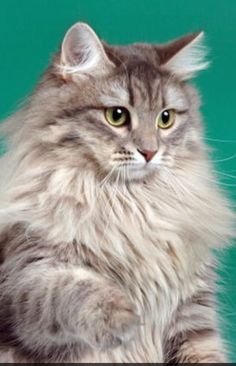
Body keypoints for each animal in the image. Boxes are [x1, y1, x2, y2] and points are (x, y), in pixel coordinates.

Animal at [0, 22, 234, 364]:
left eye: (165, 119)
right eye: (117, 116)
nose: (149, 152)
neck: (131, 204)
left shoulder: (193, 309)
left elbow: (204, 353)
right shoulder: (25, 274)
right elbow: (73, 289)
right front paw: (127, 317)